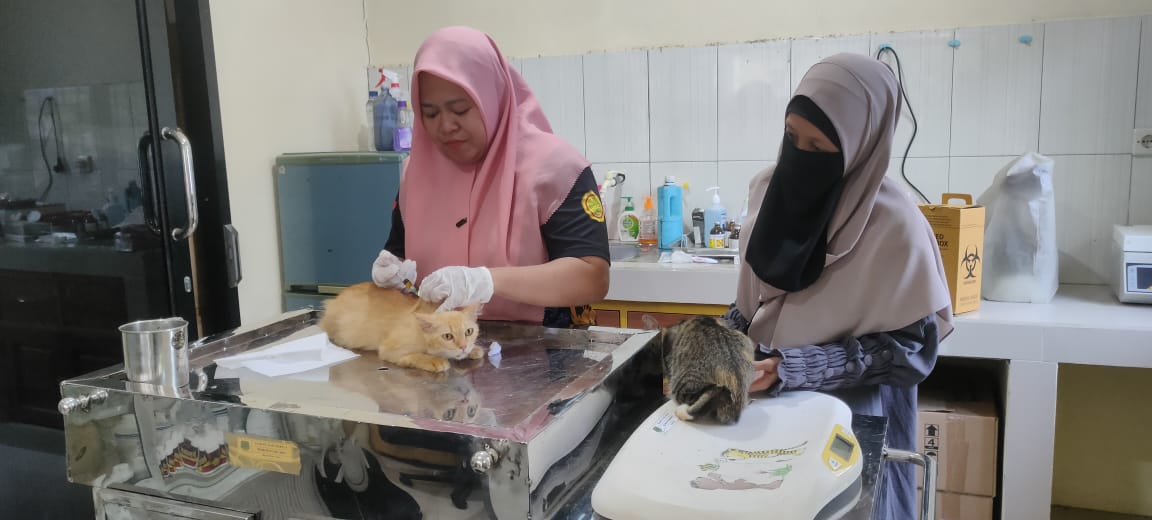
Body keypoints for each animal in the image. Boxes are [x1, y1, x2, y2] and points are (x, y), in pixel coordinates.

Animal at [320, 282, 483, 373]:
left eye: (469, 332)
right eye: (448, 336)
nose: (463, 346)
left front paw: (473, 349)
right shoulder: (388, 349)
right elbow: (416, 356)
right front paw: (434, 360)